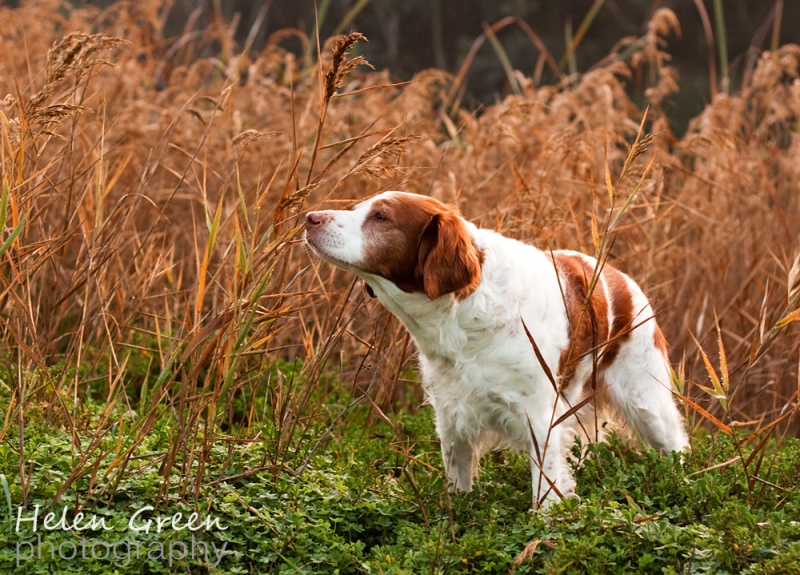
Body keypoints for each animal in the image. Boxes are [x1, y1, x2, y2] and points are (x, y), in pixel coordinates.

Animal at [304, 192, 688, 508]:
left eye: (381, 216)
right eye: (358, 208)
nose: (310, 217)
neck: (463, 316)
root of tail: (621, 278)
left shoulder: (540, 416)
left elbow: (545, 489)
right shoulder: (451, 414)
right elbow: (457, 481)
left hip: (647, 403)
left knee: (678, 445)